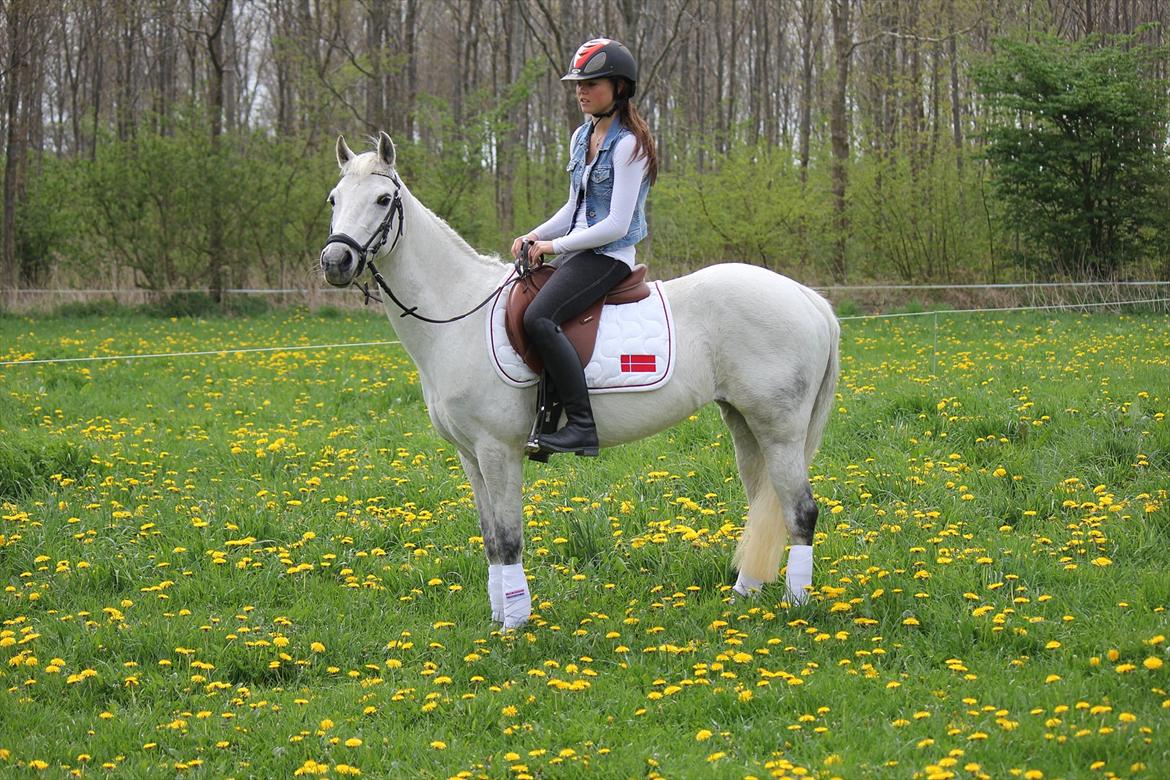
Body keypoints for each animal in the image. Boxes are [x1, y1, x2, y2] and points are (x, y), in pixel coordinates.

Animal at [315, 134, 837, 631]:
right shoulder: (470, 455)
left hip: (780, 430)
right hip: (744, 424)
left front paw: (515, 624)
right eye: (334, 198)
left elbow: (509, 538)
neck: (459, 314)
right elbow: (490, 537)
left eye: (383, 198)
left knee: (800, 511)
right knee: (765, 504)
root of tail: (808, 299)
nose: (336, 261)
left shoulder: (498, 451)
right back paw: (745, 597)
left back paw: (796, 606)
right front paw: (498, 617)